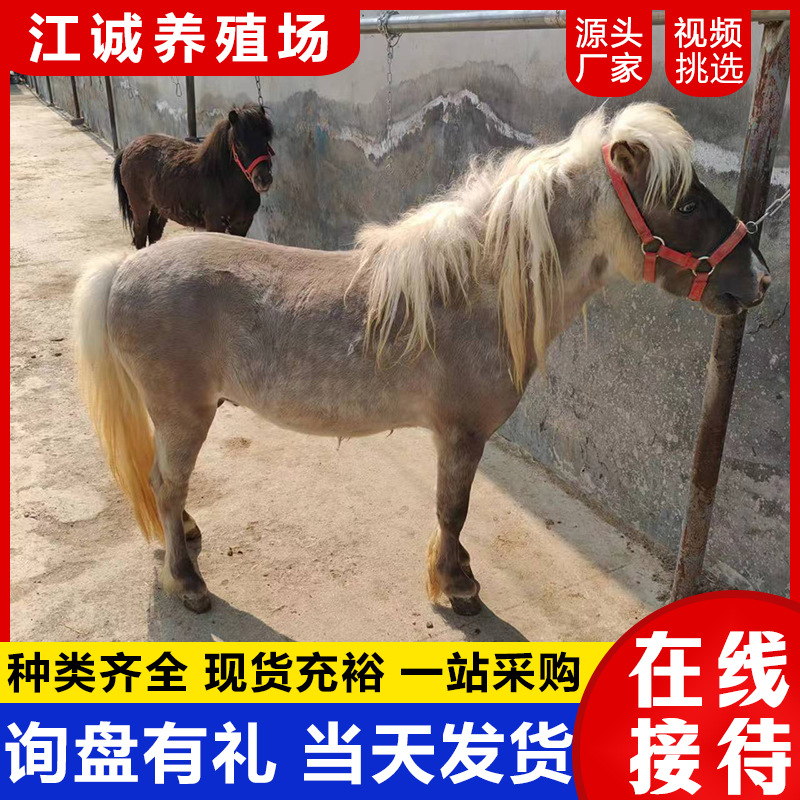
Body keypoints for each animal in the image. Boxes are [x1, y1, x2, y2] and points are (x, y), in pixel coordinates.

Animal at [112, 103, 275, 249]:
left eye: (266, 140)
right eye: (239, 144)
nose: (263, 180)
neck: (223, 180)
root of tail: (127, 148)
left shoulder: (242, 224)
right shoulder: (215, 224)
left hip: (159, 208)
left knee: (153, 233)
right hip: (139, 206)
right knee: (140, 234)